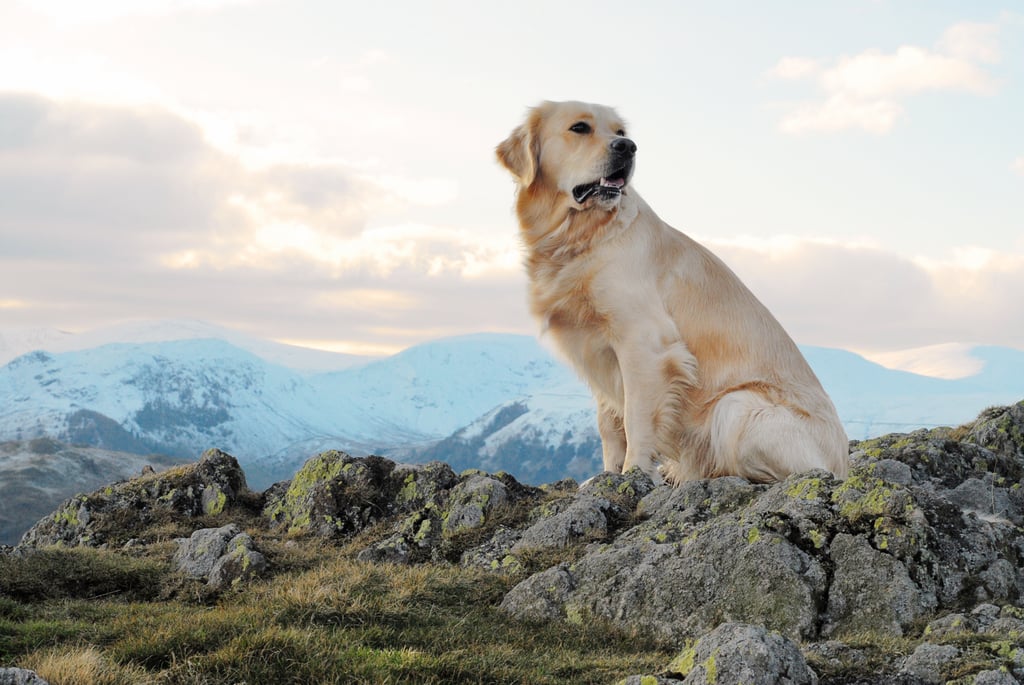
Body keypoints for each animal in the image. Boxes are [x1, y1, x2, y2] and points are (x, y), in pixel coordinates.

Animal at [495, 101, 847, 483]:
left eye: (620, 132)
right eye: (579, 128)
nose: (628, 147)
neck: (583, 235)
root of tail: (843, 461)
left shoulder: (644, 343)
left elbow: (635, 419)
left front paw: (633, 474)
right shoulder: (597, 350)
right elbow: (608, 423)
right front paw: (606, 475)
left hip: (735, 406)